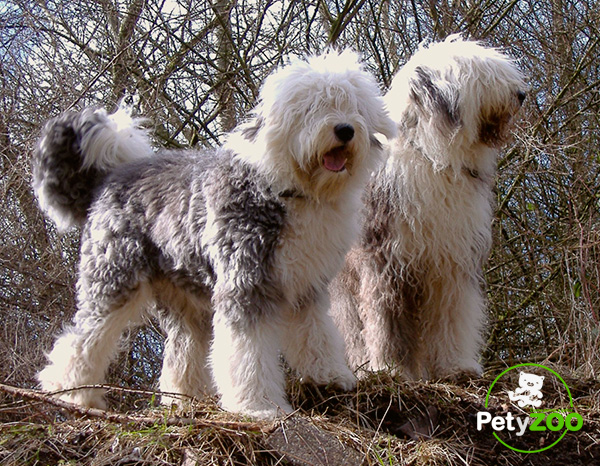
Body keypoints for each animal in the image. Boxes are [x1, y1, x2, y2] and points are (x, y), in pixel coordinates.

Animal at [34, 51, 398, 418]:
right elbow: (248, 352)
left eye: (352, 105)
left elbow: (316, 334)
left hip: (184, 296)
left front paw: (330, 376)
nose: (345, 129)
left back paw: (187, 397)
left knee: (182, 348)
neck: (291, 188)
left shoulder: (305, 287)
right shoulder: (246, 283)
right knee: (84, 337)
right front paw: (258, 405)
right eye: (312, 107)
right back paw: (71, 392)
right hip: (114, 277)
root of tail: (108, 179)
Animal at [330, 35, 528, 378]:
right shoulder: (386, 261)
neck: (435, 159)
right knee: (351, 327)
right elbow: (387, 324)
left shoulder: (451, 263)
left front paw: (457, 366)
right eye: (482, 73)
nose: (521, 95)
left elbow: (452, 318)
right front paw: (391, 368)